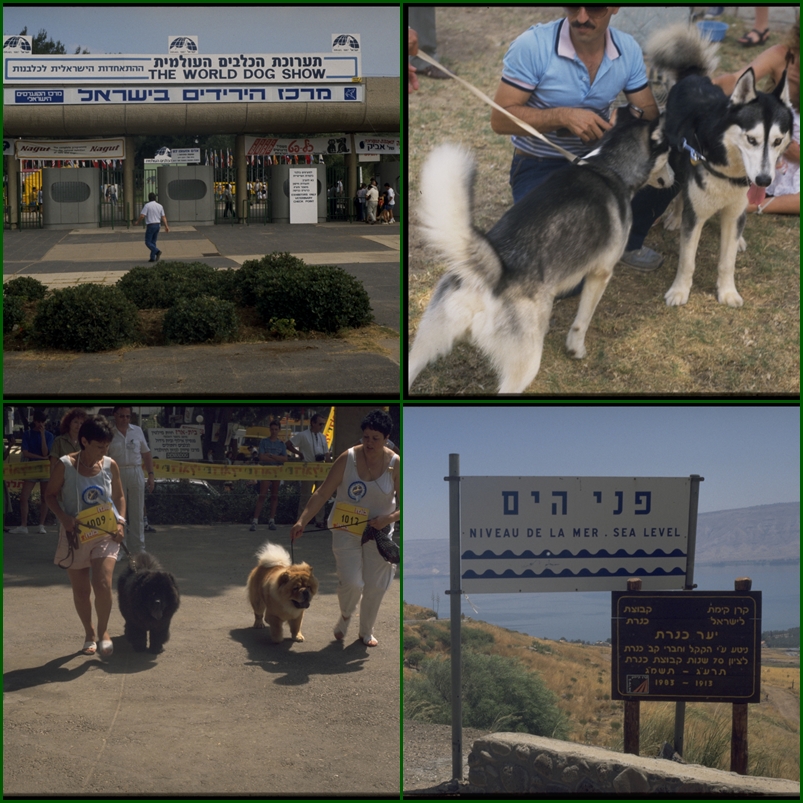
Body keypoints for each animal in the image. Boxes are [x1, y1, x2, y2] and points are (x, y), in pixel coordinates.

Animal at [408, 114, 672, 396]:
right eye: (670, 152)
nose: (675, 177)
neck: (608, 167)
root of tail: (492, 273)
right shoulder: (600, 274)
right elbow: (582, 320)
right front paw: (576, 349)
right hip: (526, 364)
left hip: (424, 345)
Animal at [652, 24, 796, 308]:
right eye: (751, 139)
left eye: (777, 141)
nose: (764, 181)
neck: (729, 170)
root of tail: (693, 75)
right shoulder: (696, 214)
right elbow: (687, 260)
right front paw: (679, 291)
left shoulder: (736, 210)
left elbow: (727, 261)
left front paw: (728, 292)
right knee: (680, 192)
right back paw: (675, 216)